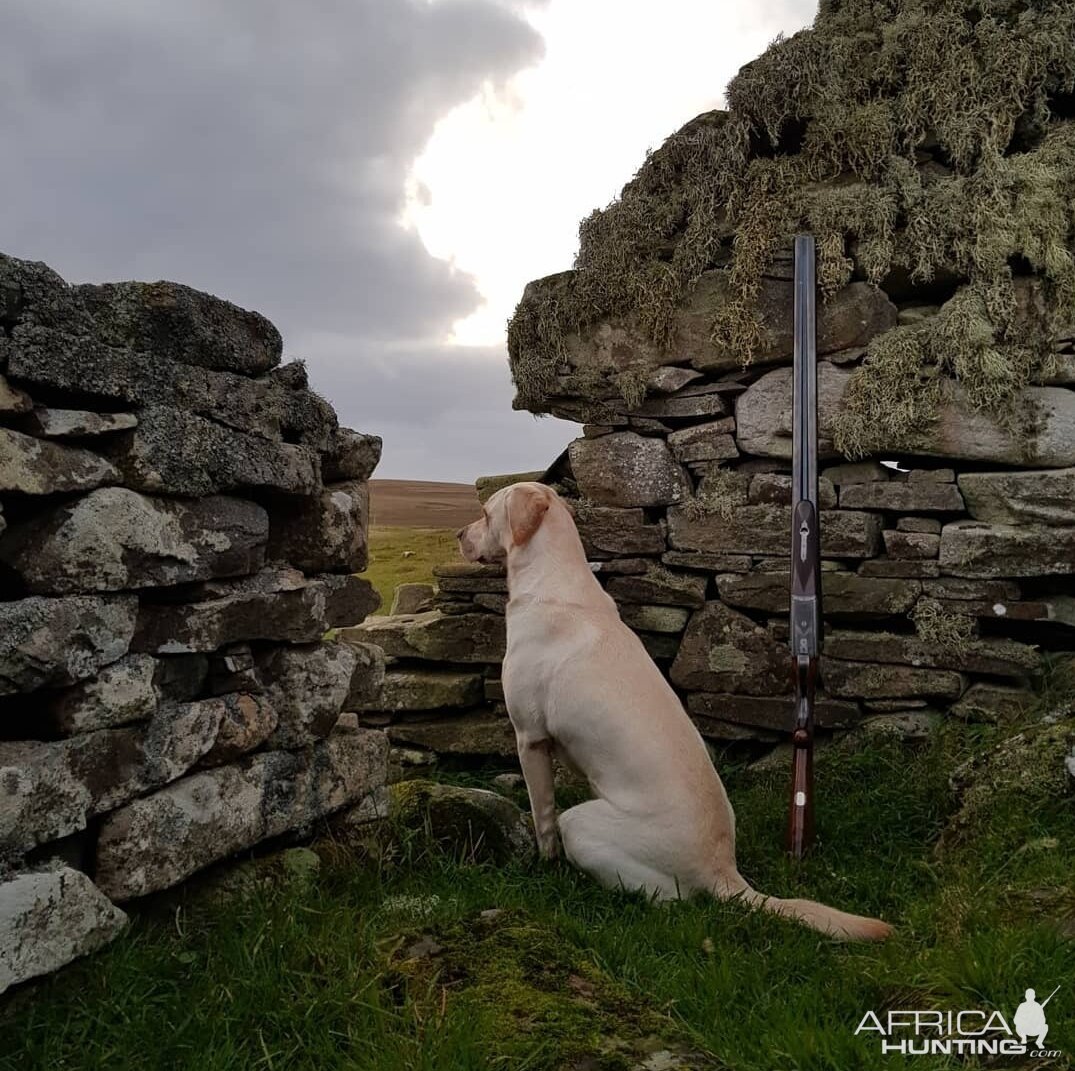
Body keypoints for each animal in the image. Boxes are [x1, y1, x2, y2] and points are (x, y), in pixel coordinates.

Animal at [457, 481, 894, 941]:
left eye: (485, 514)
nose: (458, 535)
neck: (554, 577)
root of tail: (723, 869)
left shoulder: (530, 738)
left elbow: (541, 815)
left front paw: (543, 866)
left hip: (579, 823)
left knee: (669, 900)